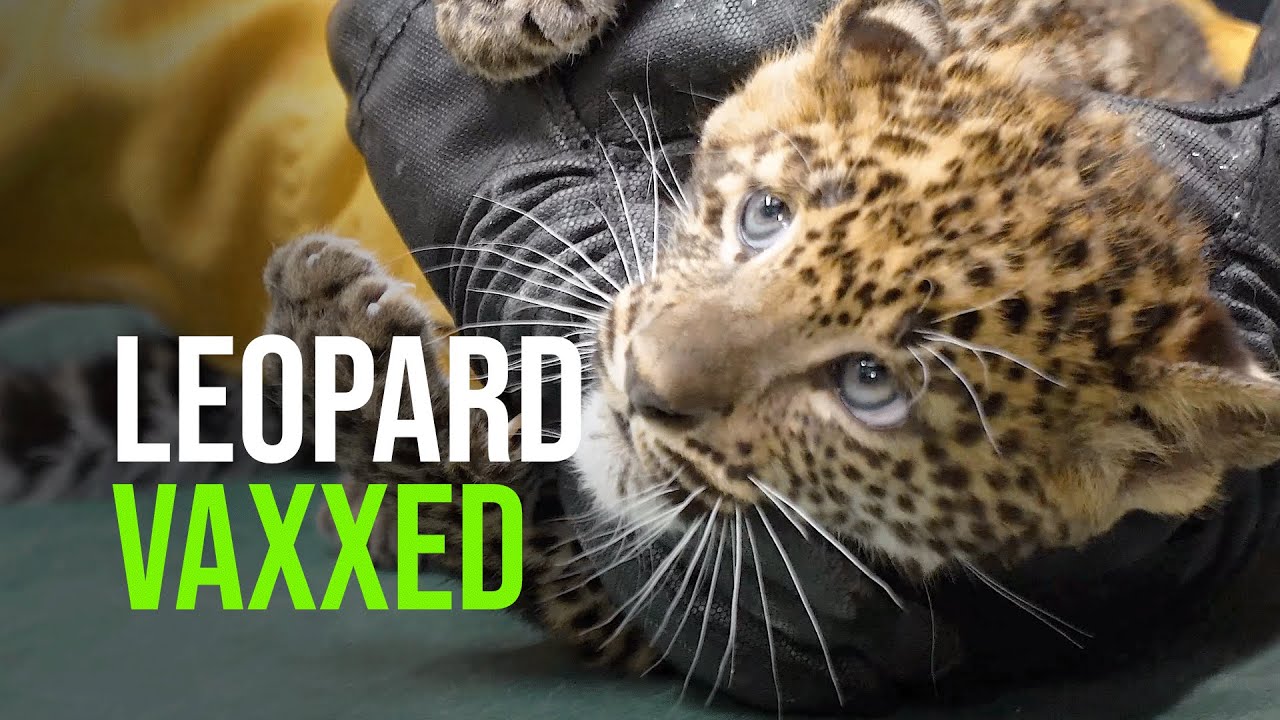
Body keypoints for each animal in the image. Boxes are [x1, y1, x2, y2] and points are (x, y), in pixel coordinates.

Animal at [269, 0, 1280, 704]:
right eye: (764, 216)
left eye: (871, 385)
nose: (642, 390)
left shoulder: (658, 613)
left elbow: (515, 536)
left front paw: (337, 335)